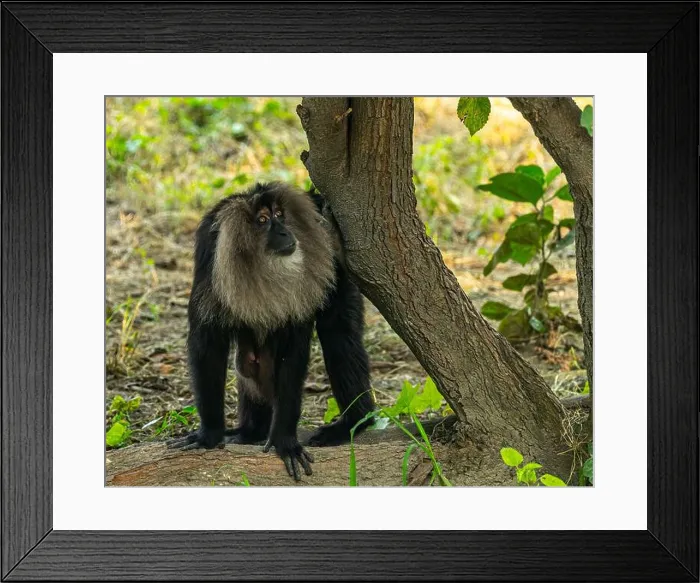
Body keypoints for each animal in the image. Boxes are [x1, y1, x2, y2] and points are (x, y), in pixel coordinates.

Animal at [168, 182, 375, 480]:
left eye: (279, 215)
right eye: (264, 220)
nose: (285, 232)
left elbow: (294, 352)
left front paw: (284, 441)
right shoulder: (210, 257)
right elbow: (207, 346)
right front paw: (209, 434)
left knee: (339, 336)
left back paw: (354, 421)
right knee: (249, 363)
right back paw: (250, 431)